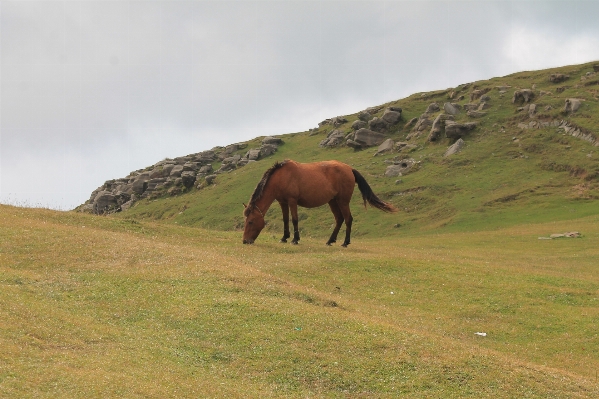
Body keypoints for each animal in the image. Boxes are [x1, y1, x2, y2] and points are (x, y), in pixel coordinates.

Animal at [241, 159, 396, 247]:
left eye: (250, 222)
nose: (245, 241)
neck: (281, 177)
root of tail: (349, 169)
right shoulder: (282, 202)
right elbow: (285, 220)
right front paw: (284, 238)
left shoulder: (292, 201)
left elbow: (294, 219)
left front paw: (295, 239)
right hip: (333, 202)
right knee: (339, 219)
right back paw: (330, 240)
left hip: (342, 201)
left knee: (348, 219)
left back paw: (345, 242)